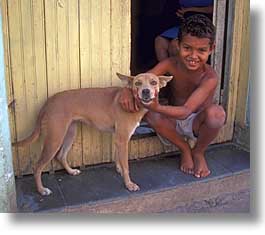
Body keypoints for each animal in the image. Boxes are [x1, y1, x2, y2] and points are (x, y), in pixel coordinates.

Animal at [13, 72, 172, 196]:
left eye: (153, 82)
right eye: (137, 83)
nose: (146, 91)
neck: (132, 102)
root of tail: (49, 101)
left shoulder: (118, 138)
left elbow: (117, 158)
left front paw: (119, 169)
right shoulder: (123, 139)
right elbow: (127, 166)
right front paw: (129, 184)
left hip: (69, 133)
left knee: (61, 156)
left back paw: (71, 171)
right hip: (54, 139)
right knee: (38, 167)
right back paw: (41, 190)